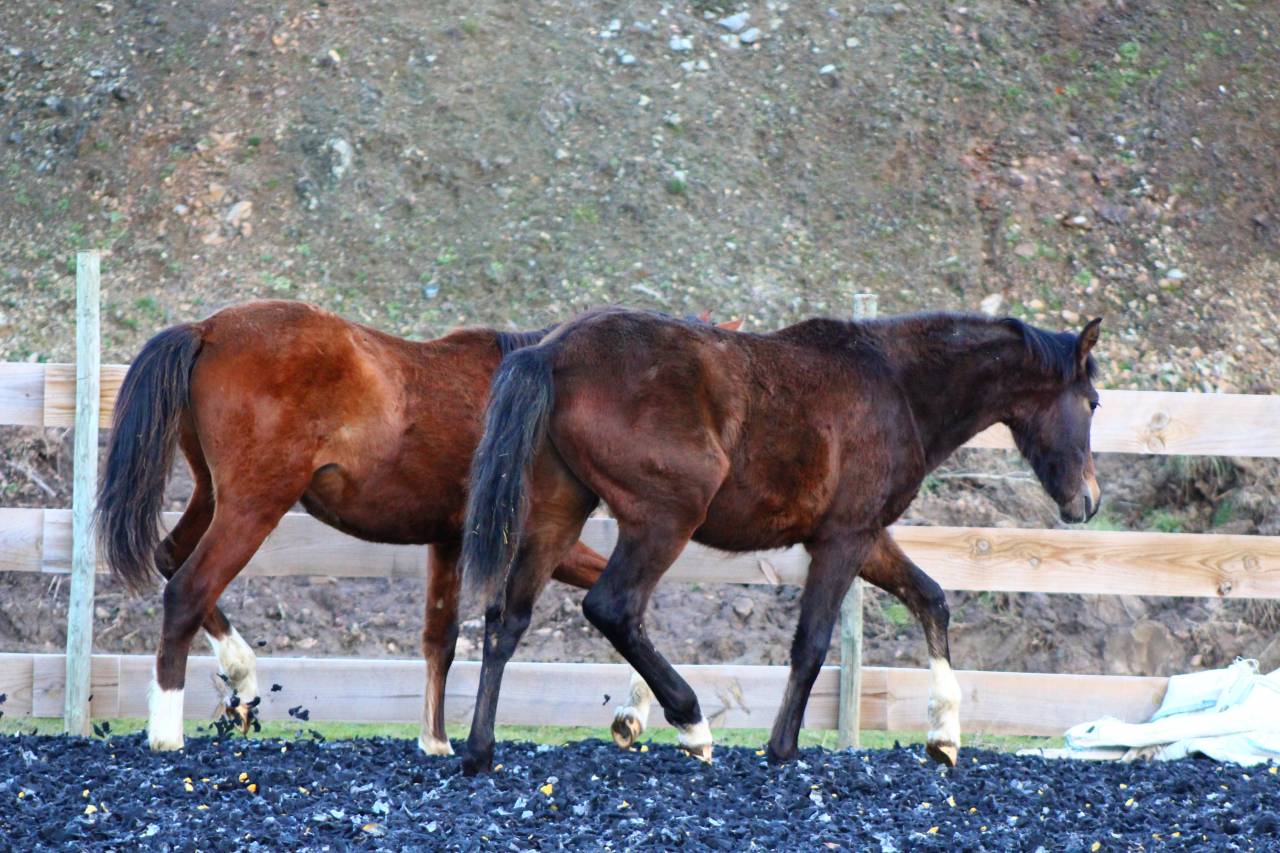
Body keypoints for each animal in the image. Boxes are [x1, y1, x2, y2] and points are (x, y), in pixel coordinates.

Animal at [96, 299, 739, 753]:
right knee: (189, 588)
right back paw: (167, 732)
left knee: (170, 559)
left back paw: (241, 679)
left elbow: (440, 639)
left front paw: (434, 741)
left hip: (213, 497)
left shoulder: (449, 542)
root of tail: (207, 329)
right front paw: (649, 710)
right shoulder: (530, 540)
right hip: (253, 506)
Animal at [457, 308, 1102, 775]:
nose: (1088, 500)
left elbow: (931, 599)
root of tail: (550, 352)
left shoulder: (865, 536)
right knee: (614, 608)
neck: (897, 386)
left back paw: (479, 751)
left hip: (557, 513)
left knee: (506, 618)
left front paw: (944, 734)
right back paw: (692, 725)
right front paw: (782, 748)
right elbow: (811, 643)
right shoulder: (843, 540)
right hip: (664, 519)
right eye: (1093, 403)